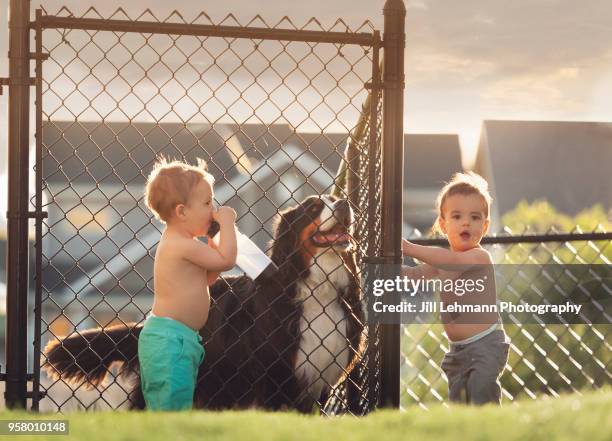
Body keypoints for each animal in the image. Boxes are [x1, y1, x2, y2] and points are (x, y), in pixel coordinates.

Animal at [44, 194, 368, 410]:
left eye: (335, 200)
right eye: (314, 208)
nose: (345, 205)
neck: (318, 288)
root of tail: (147, 323)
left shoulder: (320, 381)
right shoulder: (277, 375)